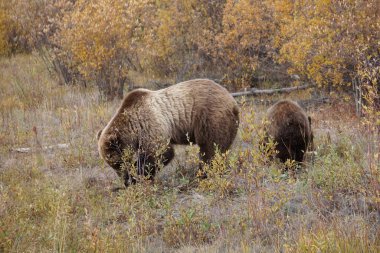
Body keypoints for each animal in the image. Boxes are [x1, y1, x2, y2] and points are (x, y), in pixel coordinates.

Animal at [96, 78, 239, 186]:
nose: (123, 178)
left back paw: (204, 174)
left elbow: (161, 153)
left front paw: (136, 177)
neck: (133, 128)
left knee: (211, 148)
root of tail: (233, 101)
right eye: (111, 164)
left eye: (117, 163)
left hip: (210, 118)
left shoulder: (149, 124)